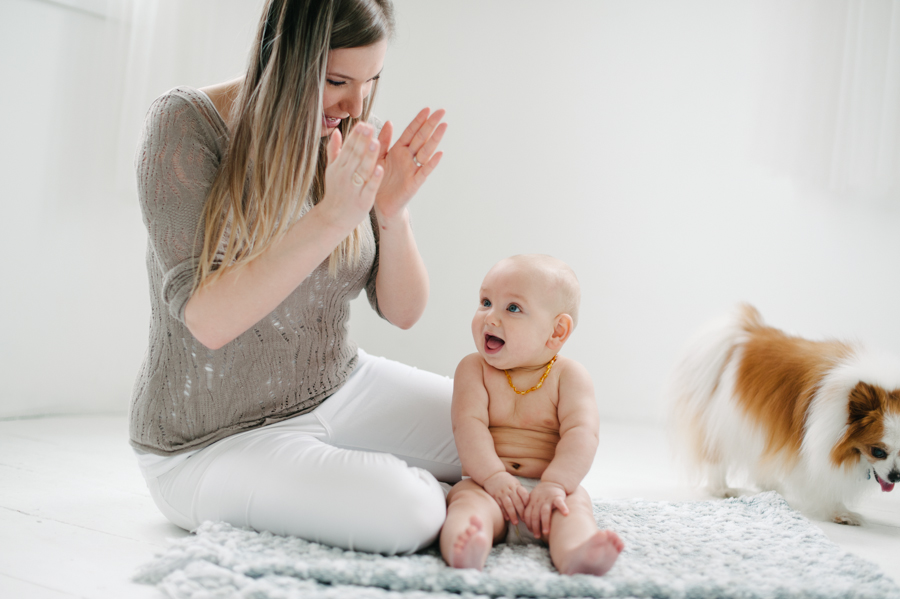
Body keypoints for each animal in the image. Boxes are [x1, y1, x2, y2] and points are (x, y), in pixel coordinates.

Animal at [668, 304, 900, 524]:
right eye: (878, 452)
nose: (896, 476)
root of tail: (748, 332)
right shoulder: (811, 451)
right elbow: (822, 486)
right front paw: (841, 513)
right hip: (728, 422)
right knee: (715, 455)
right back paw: (722, 488)